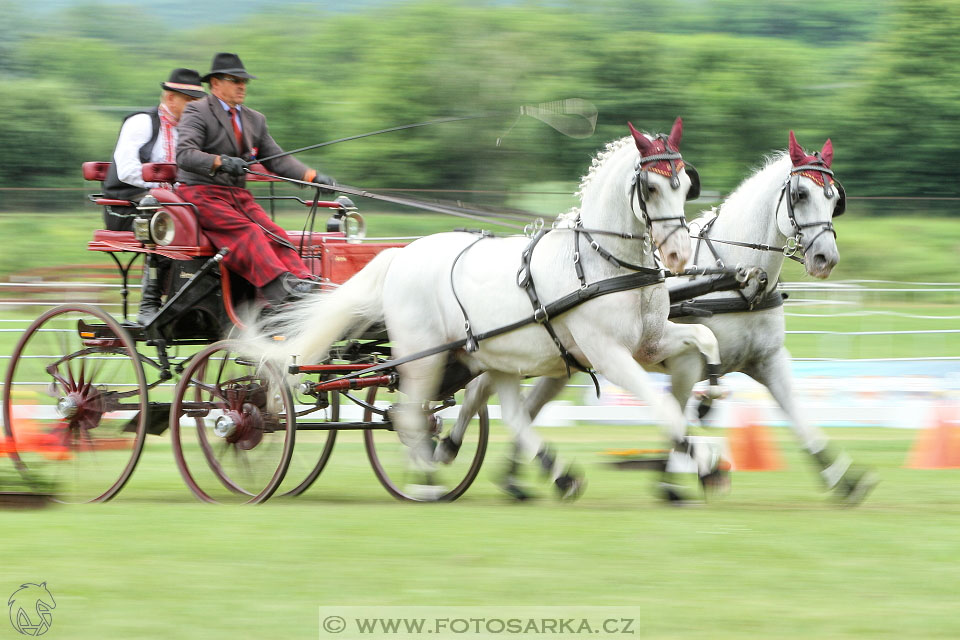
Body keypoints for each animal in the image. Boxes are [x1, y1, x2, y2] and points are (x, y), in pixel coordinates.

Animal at [246, 120, 720, 500]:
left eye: (684, 184)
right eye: (651, 187)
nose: (678, 254)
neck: (600, 260)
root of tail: (400, 256)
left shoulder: (649, 342)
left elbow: (704, 342)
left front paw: (710, 401)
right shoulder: (609, 354)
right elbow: (661, 407)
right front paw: (703, 460)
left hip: (496, 355)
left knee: (504, 412)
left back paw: (545, 473)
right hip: (423, 358)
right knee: (411, 416)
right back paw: (426, 480)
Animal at [450, 130, 876, 504]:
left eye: (835, 198)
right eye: (801, 194)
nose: (825, 258)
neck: (735, 279)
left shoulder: (768, 360)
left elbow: (799, 418)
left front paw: (842, 477)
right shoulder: (689, 363)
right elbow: (682, 410)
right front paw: (681, 477)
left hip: (559, 363)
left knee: (525, 407)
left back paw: (513, 478)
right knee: (479, 393)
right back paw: (454, 447)